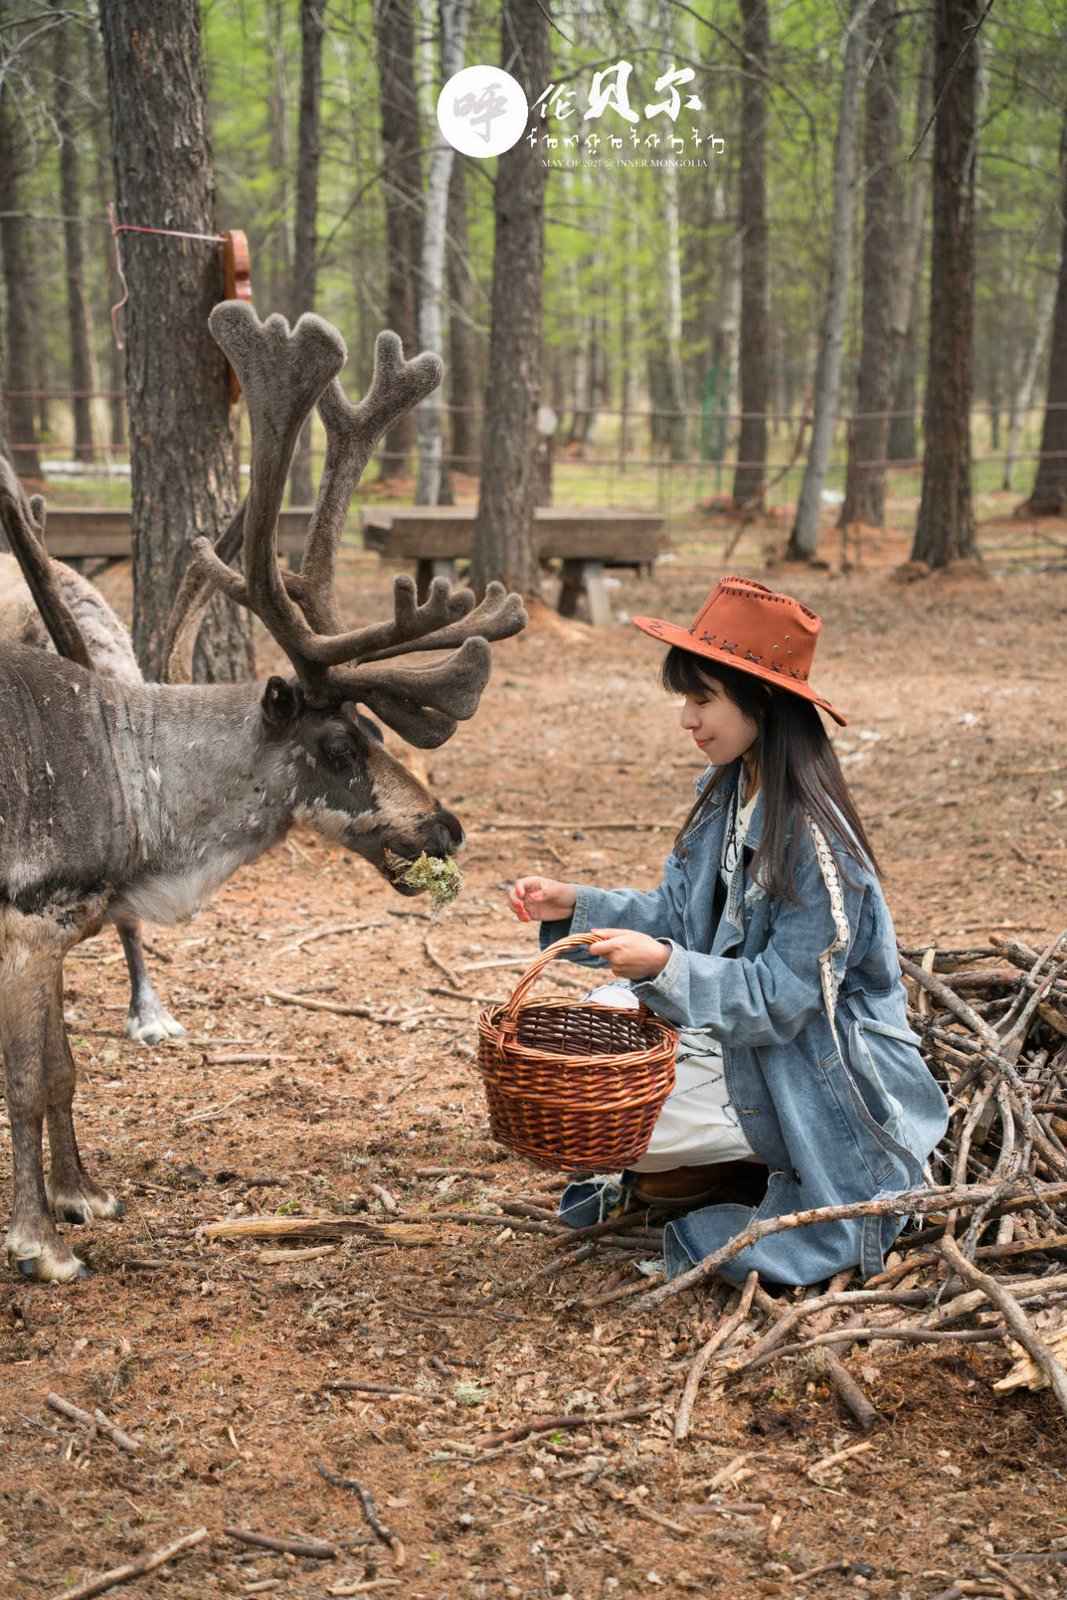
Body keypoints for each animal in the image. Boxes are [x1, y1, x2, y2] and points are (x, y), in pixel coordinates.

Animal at [0, 300, 527, 1282]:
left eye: (378, 729)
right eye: (338, 743)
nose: (446, 827)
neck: (133, 785)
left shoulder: (56, 927)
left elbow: (62, 1071)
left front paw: (83, 1196)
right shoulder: (26, 920)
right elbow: (24, 1080)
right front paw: (39, 1245)